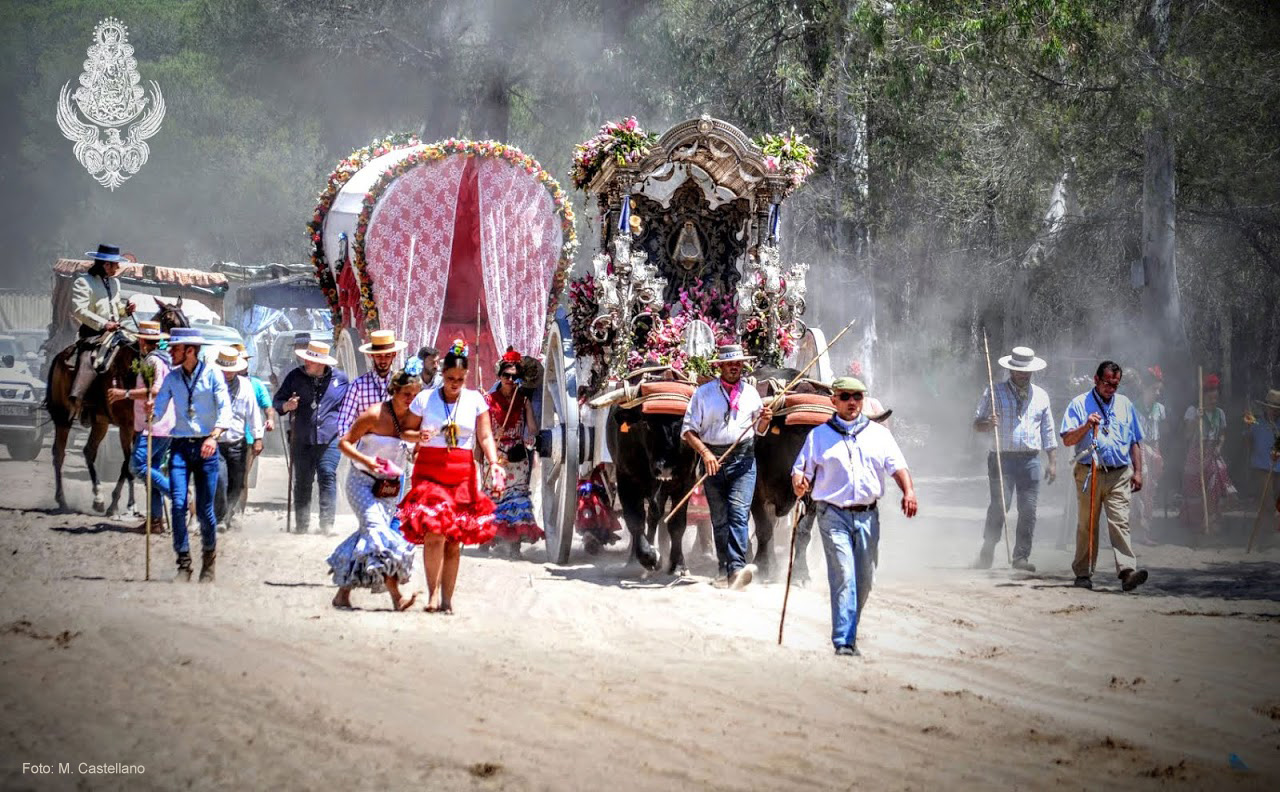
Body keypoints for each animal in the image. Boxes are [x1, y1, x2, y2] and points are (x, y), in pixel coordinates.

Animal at [44, 296, 188, 514]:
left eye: (186, 319)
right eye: (170, 321)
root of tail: (61, 355)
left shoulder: (138, 428)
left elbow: (131, 464)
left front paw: (117, 503)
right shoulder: (126, 427)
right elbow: (128, 464)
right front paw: (129, 503)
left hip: (100, 422)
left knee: (89, 451)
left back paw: (98, 498)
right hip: (63, 417)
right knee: (58, 453)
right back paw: (62, 500)